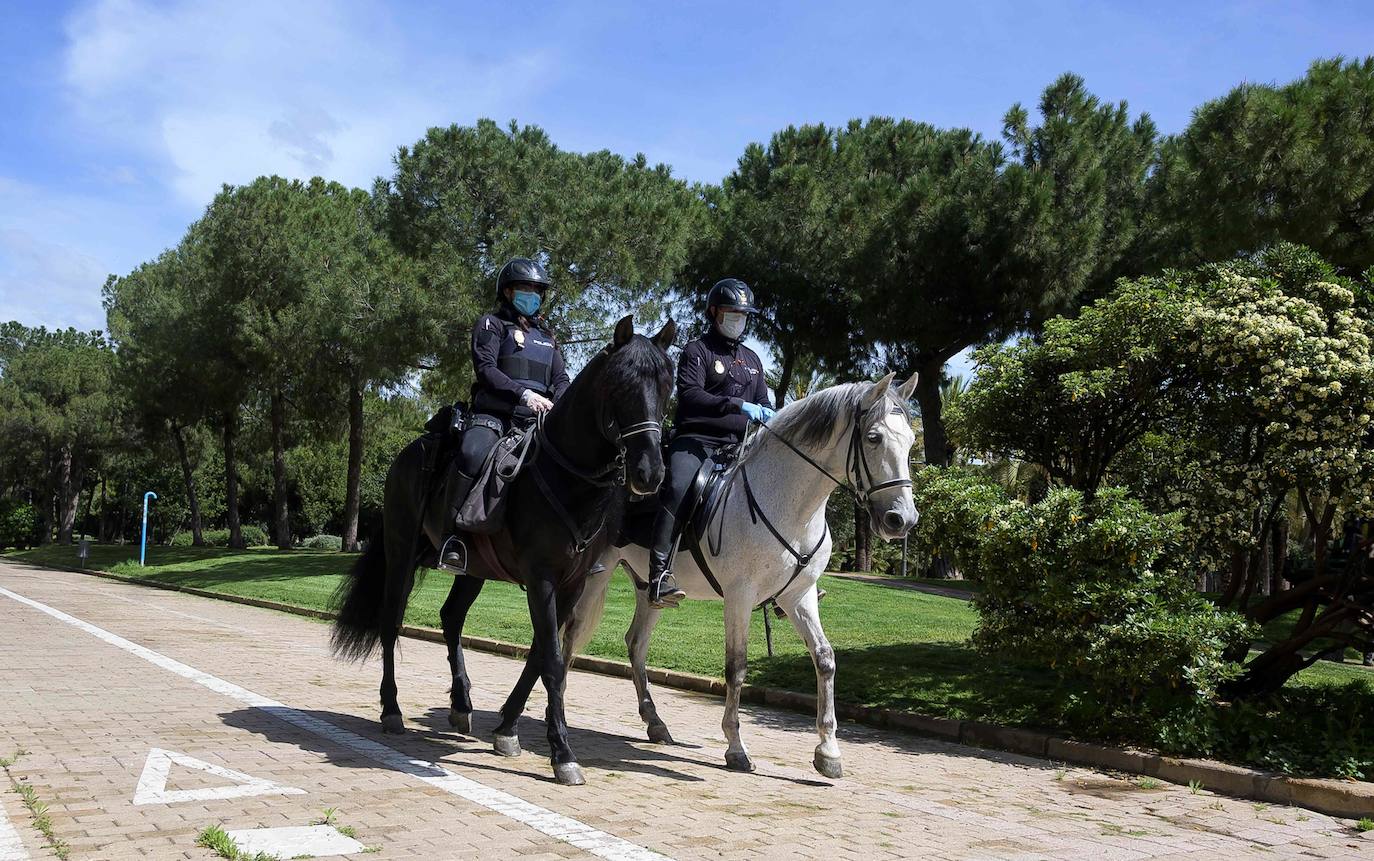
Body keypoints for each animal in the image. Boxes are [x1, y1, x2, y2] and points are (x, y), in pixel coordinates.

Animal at [332, 318, 676, 790]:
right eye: (620, 383)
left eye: (666, 385)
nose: (650, 473)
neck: (565, 476)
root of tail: (409, 450)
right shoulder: (541, 577)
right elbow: (552, 659)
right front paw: (562, 754)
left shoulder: (570, 584)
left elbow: (540, 656)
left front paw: (508, 730)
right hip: (401, 552)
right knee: (391, 621)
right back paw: (392, 710)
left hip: (472, 567)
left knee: (451, 617)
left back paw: (461, 705)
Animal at [563, 373, 917, 779]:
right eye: (873, 437)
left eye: (911, 440)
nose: (902, 520)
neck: (789, 503)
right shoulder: (740, 596)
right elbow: (737, 667)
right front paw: (736, 747)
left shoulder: (799, 596)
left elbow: (825, 658)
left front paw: (828, 751)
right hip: (595, 575)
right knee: (570, 634)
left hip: (647, 588)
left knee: (636, 643)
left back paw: (656, 723)